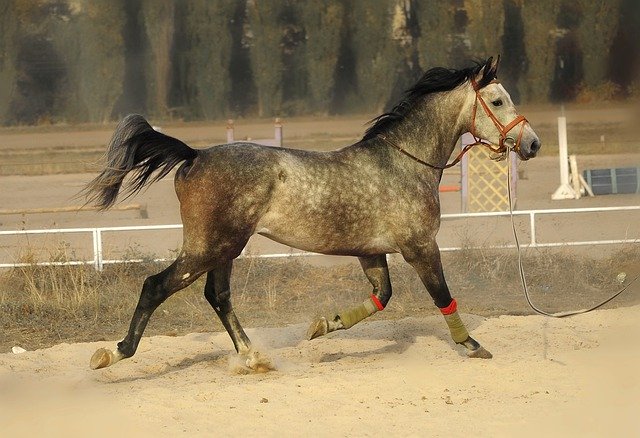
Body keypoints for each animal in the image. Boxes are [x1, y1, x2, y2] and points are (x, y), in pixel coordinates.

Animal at [81, 54, 540, 370]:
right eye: (497, 100)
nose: (533, 143)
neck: (405, 163)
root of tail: (194, 155)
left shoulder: (371, 252)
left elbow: (382, 298)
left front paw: (321, 327)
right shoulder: (420, 247)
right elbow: (442, 296)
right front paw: (473, 346)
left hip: (224, 249)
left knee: (218, 296)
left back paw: (254, 358)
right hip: (209, 247)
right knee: (156, 286)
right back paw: (114, 353)